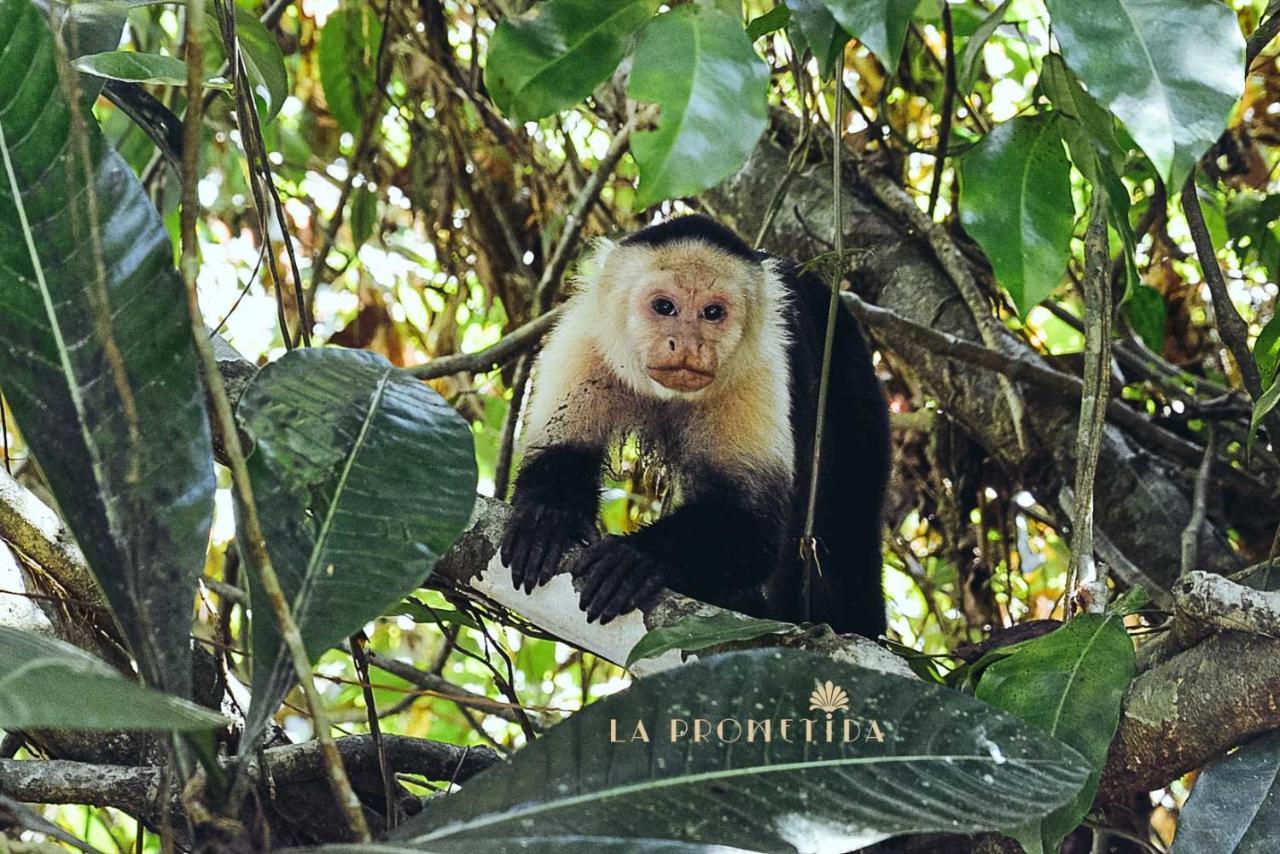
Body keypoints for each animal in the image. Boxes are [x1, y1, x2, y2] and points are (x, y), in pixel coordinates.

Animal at [496, 217, 890, 637]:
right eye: (664, 307)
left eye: (712, 312)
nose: (686, 344)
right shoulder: (585, 342)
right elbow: (558, 453)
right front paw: (548, 516)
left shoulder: (759, 369)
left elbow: (749, 525)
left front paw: (639, 558)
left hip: (853, 382)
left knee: (842, 515)